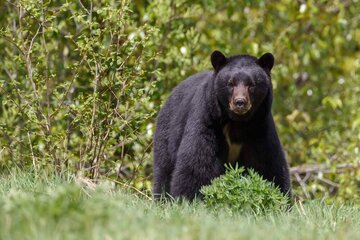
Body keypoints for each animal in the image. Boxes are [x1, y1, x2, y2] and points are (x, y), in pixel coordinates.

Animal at [152, 49, 290, 200]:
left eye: (252, 84)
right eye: (230, 83)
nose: (240, 102)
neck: (237, 122)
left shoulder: (259, 127)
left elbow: (268, 164)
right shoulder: (208, 120)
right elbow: (197, 162)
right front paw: (189, 198)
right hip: (167, 133)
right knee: (164, 169)